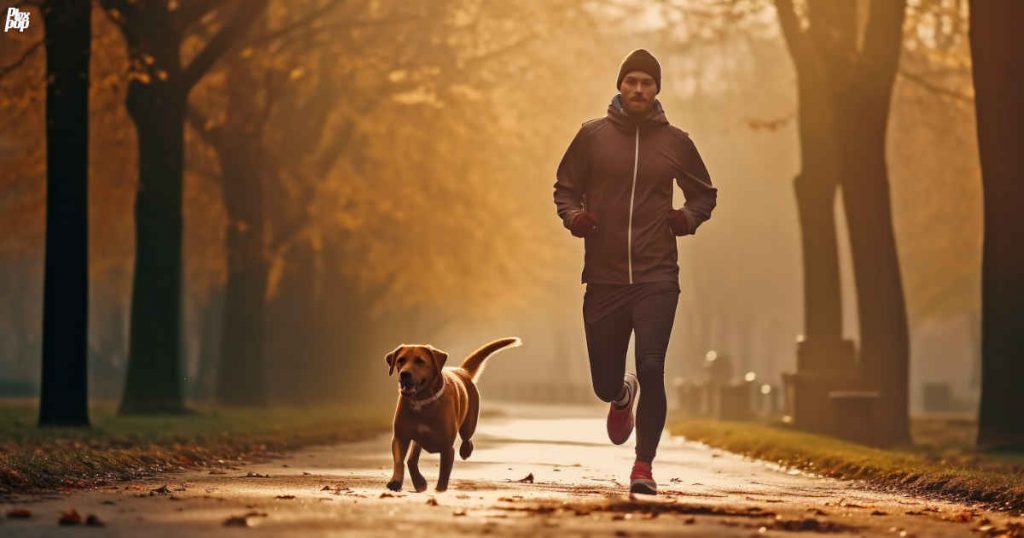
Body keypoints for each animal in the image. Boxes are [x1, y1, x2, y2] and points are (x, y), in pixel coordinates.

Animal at [385, 336, 520, 489]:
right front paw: (396, 481)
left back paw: (465, 451)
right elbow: (400, 460)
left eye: (420, 361)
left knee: (467, 440)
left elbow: (444, 472)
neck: (422, 402)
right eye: (400, 360)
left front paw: (439, 489)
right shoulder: (400, 437)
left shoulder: (446, 446)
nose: (404, 374)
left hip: (469, 424)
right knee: (412, 459)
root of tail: (462, 370)